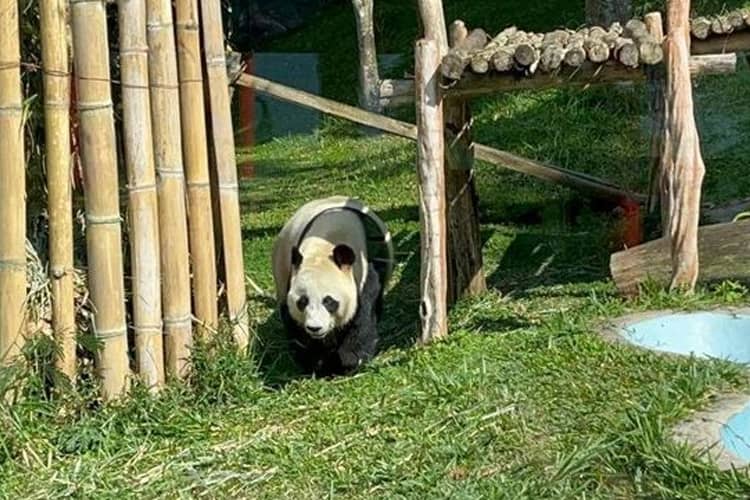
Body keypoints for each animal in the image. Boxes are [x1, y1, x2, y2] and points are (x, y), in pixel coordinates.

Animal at [271, 196, 394, 376]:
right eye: (302, 301)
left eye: (329, 301)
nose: (315, 328)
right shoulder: (291, 279)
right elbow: (298, 331)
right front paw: (316, 364)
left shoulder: (366, 271)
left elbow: (361, 319)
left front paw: (350, 362)